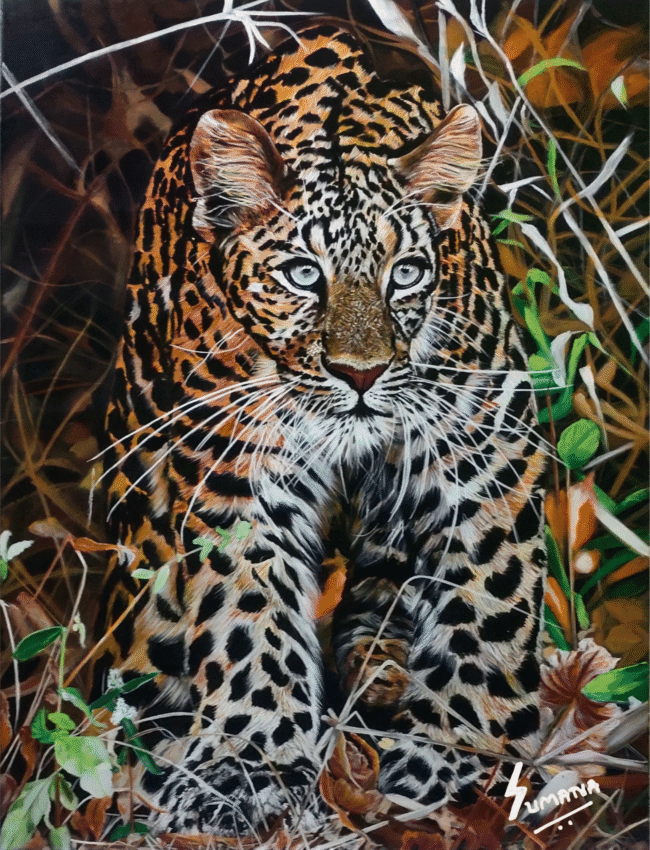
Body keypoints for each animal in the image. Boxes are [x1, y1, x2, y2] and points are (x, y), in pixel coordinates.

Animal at [96, 22, 547, 840]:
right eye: (303, 274)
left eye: (407, 273)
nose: (360, 375)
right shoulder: (233, 470)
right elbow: (245, 611)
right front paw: (246, 764)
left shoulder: (480, 446)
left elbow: (487, 600)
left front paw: (457, 756)